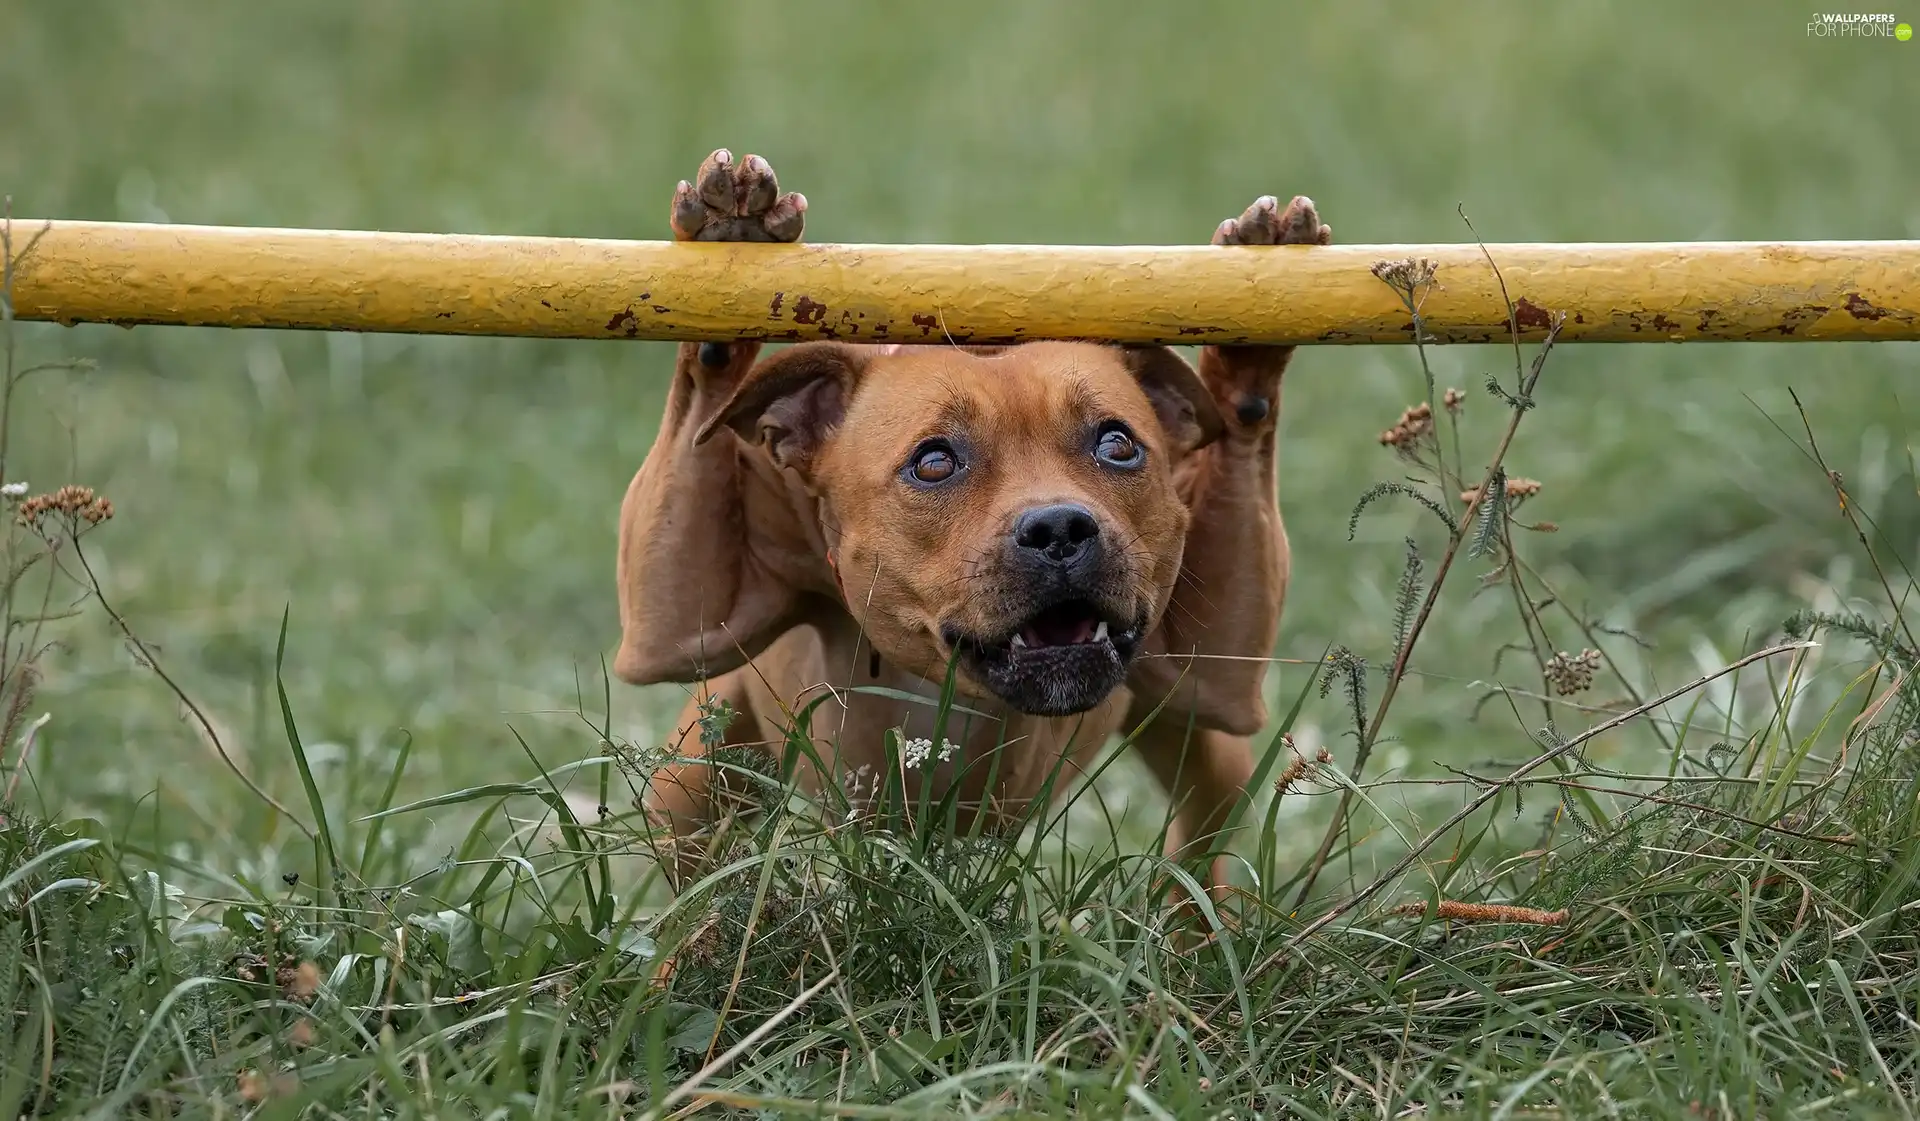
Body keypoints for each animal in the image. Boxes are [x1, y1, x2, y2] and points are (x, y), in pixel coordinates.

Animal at [606, 148, 1328, 882]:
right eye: (933, 462)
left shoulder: (1218, 680)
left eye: (1118, 445)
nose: (1059, 529)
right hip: (695, 778)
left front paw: (1251, 342)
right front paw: (728, 238)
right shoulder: (674, 630)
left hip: (1206, 753)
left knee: (1204, 840)